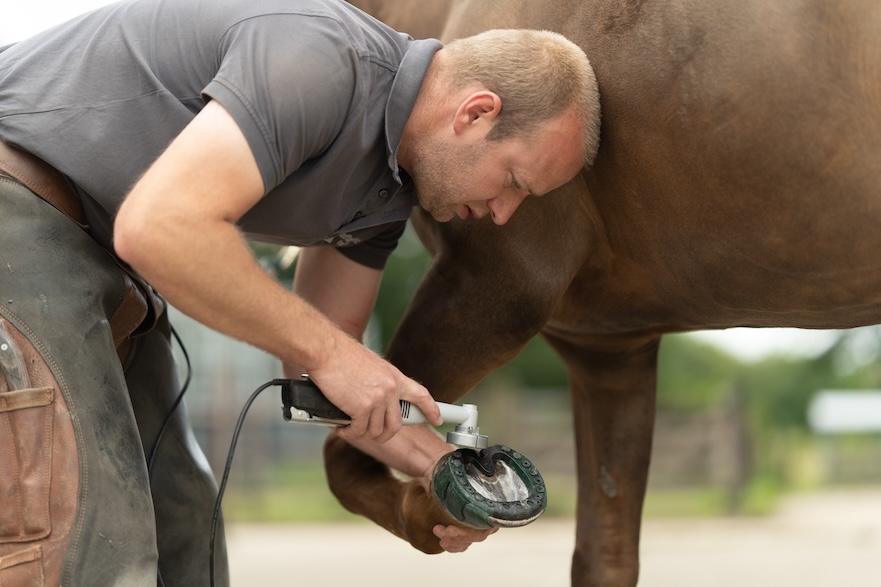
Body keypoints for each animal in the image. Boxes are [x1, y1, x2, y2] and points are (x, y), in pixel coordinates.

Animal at [324, 2, 880, 584]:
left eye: (519, 186)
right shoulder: (610, 351)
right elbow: (605, 555)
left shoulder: (492, 285)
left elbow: (345, 455)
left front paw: (436, 504)